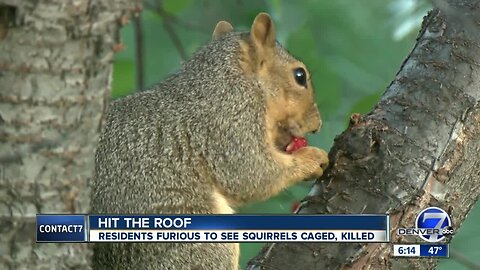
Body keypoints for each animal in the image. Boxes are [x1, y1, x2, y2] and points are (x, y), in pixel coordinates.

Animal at [91, 12, 328, 270]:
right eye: (299, 76)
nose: (317, 125)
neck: (224, 79)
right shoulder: (230, 122)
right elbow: (252, 173)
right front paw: (312, 158)